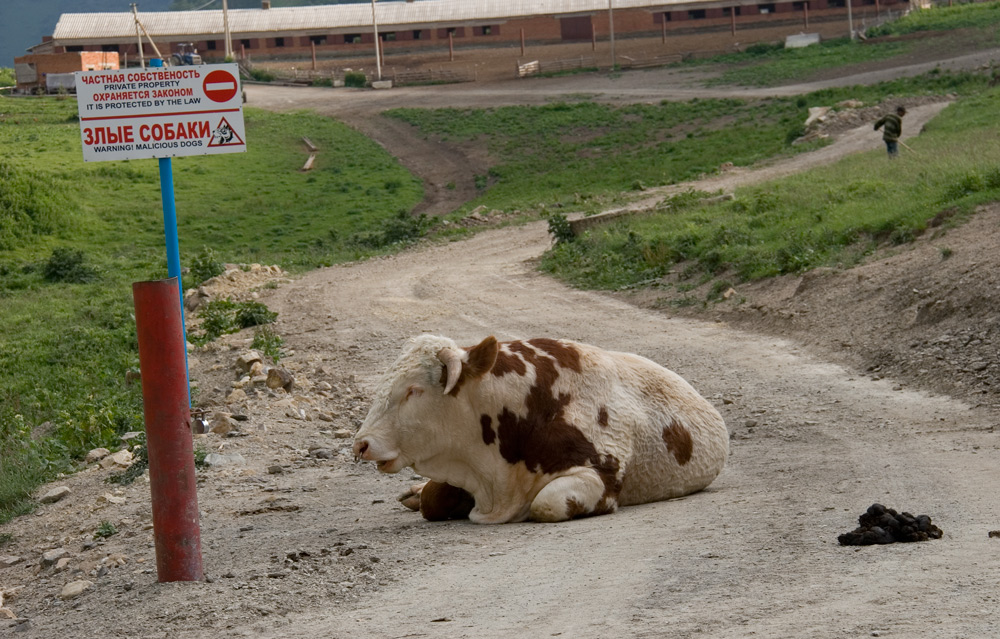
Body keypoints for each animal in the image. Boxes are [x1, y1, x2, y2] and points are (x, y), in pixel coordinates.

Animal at [352, 336, 728, 524]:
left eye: (413, 390)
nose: (361, 444)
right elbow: (433, 499)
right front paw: (422, 493)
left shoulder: (600, 475)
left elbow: (546, 504)